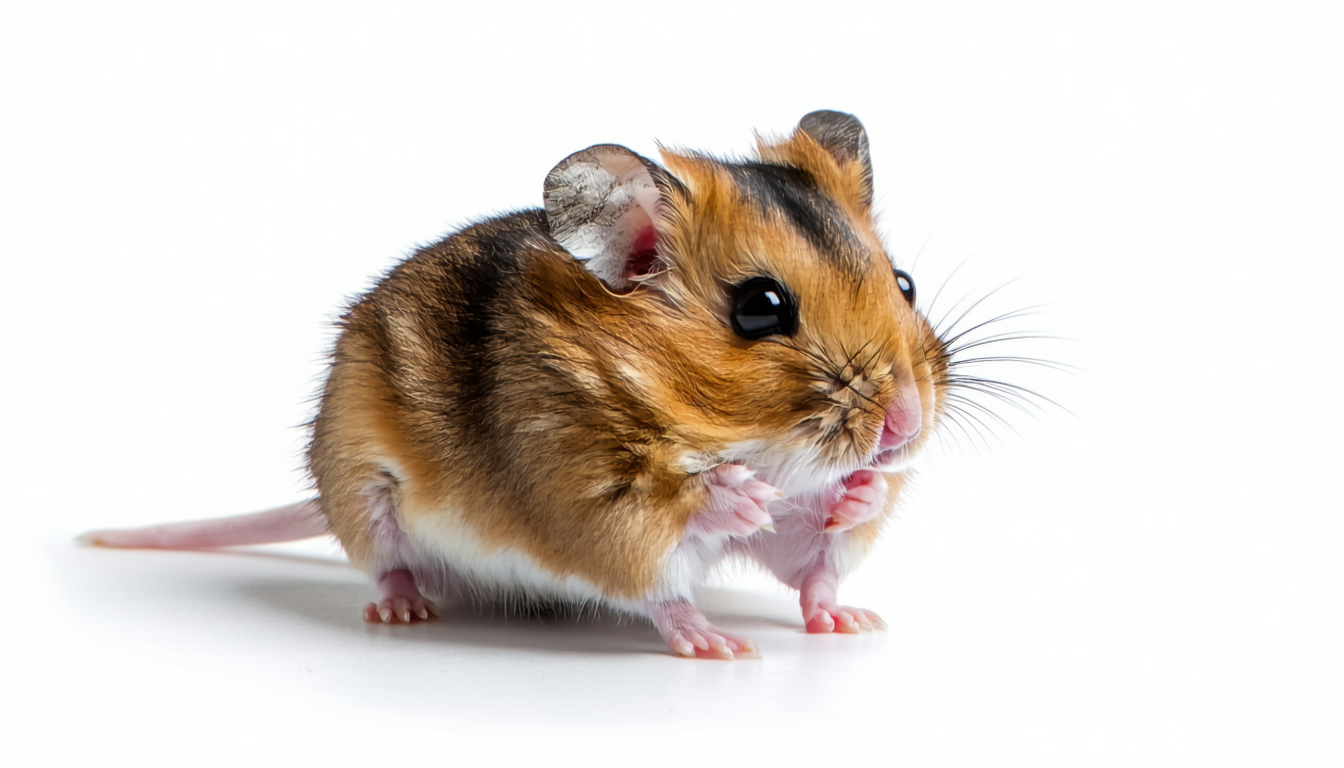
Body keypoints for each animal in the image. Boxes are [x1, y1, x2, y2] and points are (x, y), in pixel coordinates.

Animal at [79, 110, 947, 659]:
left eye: (903, 284)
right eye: (760, 307)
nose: (906, 427)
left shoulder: (794, 526)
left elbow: (811, 556)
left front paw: (860, 499)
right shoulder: (585, 493)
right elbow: (662, 554)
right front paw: (735, 515)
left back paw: (851, 620)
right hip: (360, 484)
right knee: (387, 559)